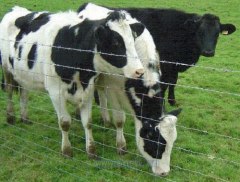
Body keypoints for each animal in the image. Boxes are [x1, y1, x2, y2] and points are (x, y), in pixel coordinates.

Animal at [0, 6, 144, 158]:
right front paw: (66, 150)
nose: (139, 71)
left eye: (133, 40)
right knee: (9, 91)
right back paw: (10, 117)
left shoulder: (88, 89)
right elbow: (64, 122)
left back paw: (25, 117)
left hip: (22, 74)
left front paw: (91, 150)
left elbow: (88, 122)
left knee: (24, 92)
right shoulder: (55, 92)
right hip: (6, 68)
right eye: (115, 43)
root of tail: (16, 9)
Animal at [77, 2, 182, 176]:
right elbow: (120, 119)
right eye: (156, 143)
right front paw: (121, 146)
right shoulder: (113, 87)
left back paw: (106, 119)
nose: (164, 173)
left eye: (172, 142)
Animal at [78, 2, 236, 105]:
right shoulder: (166, 64)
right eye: (200, 32)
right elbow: (165, 84)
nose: (208, 51)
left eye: (217, 33)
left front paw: (172, 101)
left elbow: (173, 82)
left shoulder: (174, 66)